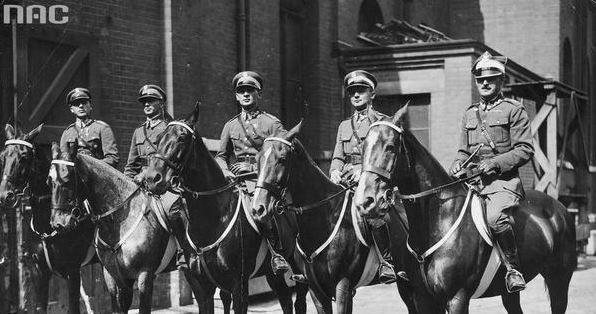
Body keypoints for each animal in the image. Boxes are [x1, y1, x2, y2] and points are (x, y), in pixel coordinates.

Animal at [0, 124, 96, 312]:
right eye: (2, 156)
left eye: (24, 157)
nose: (5, 195)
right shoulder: (39, 271)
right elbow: (39, 307)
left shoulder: (72, 270)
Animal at [47, 142, 205, 314]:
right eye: (49, 181)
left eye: (67, 180)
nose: (58, 223)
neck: (118, 222)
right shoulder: (113, 276)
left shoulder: (145, 275)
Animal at [144, 106, 308, 312]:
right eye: (159, 138)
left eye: (182, 137)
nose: (152, 178)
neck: (213, 218)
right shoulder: (202, 287)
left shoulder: (239, 285)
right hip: (272, 273)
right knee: (285, 298)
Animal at [249, 121, 416, 312]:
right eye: (257, 160)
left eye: (282, 159)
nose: (258, 208)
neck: (325, 218)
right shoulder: (316, 290)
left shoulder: (343, 285)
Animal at [354, 106, 576, 314]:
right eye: (363, 147)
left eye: (390, 147)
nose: (366, 201)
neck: (440, 218)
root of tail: (560, 208)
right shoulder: (423, 299)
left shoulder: (457, 297)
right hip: (509, 292)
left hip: (559, 280)